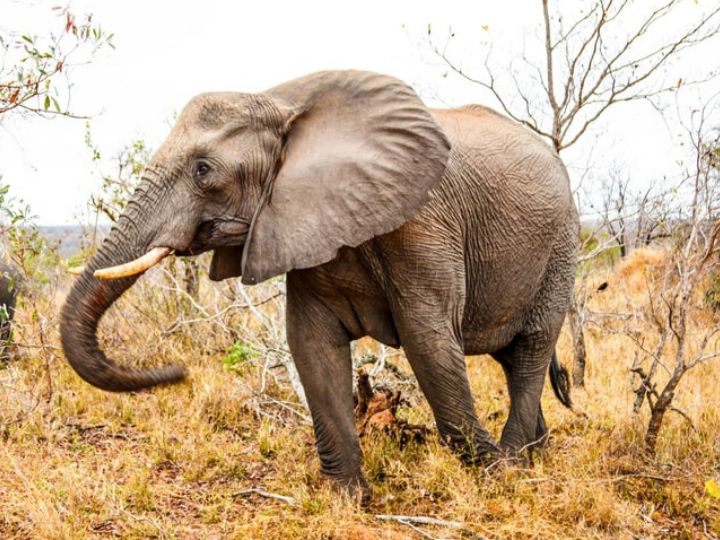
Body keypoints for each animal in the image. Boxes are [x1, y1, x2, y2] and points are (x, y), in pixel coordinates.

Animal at [60, 70, 578, 501]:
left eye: (203, 170)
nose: (178, 372)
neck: (280, 102)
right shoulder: (302, 221)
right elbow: (311, 343)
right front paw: (349, 499)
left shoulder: (424, 222)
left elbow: (428, 341)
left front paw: (493, 475)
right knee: (512, 358)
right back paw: (536, 455)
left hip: (561, 246)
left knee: (530, 349)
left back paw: (516, 464)